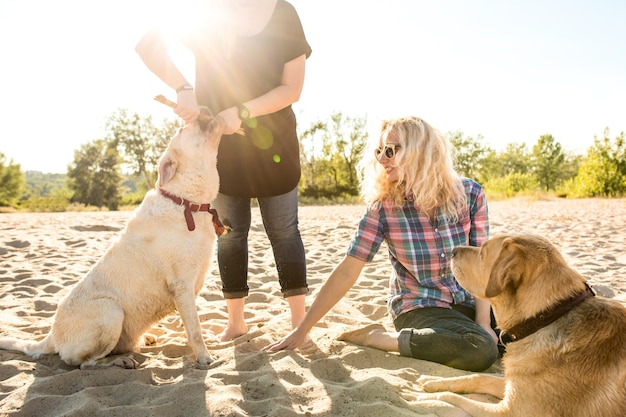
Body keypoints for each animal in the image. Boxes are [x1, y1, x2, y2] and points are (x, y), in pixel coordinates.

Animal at [0, 106, 224, 368]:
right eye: (182, 127)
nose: (203, 108)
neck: (185, 201)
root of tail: (51, 336)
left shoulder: (193, 283)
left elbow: (192, 324)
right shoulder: (183, 285)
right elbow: (194, 329)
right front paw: (204, 357)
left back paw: (143, 339)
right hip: (111, 312)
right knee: (86, 363)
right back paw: (121, 361)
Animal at [416, 232, 626, 416]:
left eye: (482, 252)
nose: (452, 250)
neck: (546, 318)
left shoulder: (511, 411)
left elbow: (454, 400)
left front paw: (428, 400)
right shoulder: (511, 385)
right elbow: (478, 377)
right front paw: (434, 381)